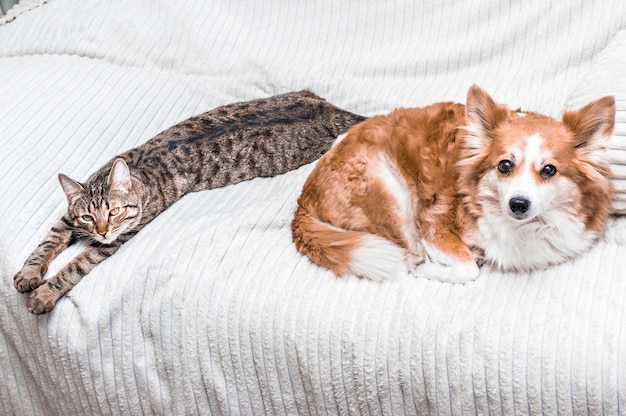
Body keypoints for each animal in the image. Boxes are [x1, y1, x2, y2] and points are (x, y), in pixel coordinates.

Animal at [14, 90, 364, 312]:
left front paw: (44, 292)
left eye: (114, 212)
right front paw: (30, 274)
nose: (101, 231)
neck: (139, 177)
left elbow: (74, 266)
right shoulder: (67, 220)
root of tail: (329, 108)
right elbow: (46, 243)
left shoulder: (116, 240)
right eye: (89, 217)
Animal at [292, 85, 616, 282]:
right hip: (387, 185)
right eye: (505, 165)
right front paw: (433, 270)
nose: (518, 204)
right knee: (409, 253)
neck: (526, 228)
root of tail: (303, 199)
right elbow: (467, 268)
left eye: (549, 170)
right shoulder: (434, 225)